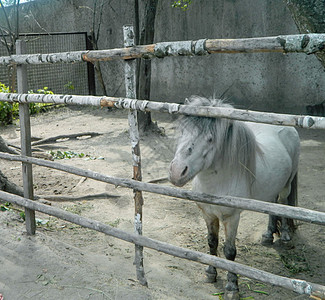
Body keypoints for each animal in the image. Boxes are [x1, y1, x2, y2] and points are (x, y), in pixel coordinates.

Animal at [170, 96, 298, 300]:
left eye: (210, 138)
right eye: (182, 132)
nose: (176, 172)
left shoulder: (231, 218)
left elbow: (229, 252)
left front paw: (232, 287)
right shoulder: (208, 214)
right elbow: (212, 242)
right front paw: (211, 273)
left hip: (287, 184)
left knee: (283, 204)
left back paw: (285, 235)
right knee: (272, 206)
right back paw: (268, 235)